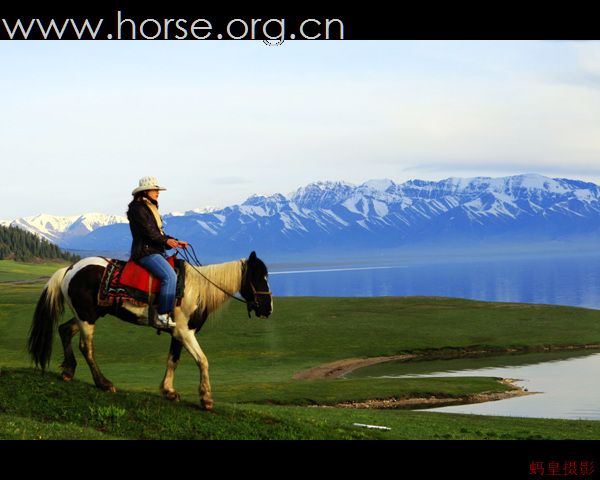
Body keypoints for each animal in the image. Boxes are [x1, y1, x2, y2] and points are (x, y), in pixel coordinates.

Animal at [27, 249, 272, 410]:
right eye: (259, 278)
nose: (268, 309)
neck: (198, 290)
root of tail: (69, 269)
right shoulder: (185, 332)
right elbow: (202, 360)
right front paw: (206, 399)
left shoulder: (178, 333)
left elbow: (173, 360)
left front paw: (169, 392)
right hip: (87, 317)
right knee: (86, 347)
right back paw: (104, 384)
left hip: (87, 315)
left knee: (64, 330)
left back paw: (68, 371)